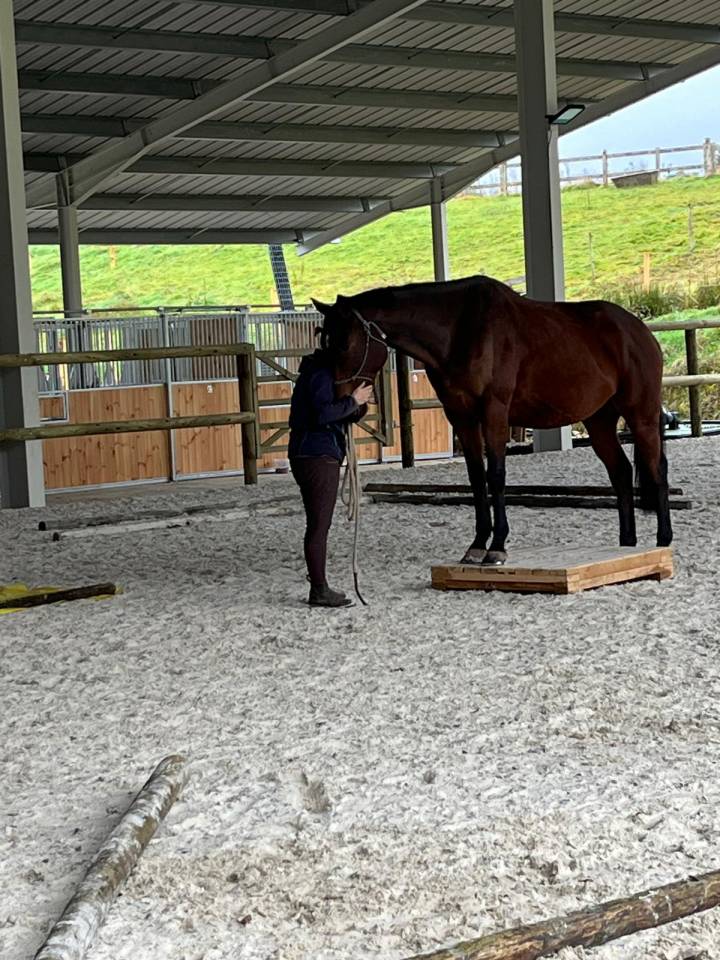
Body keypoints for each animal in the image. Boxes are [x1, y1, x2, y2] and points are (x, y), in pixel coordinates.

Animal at [312, 275, 672, 565]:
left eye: (345, 343)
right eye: (324, 342)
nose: (347, 406)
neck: (460, 329)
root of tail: (640, 331)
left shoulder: (494, 412)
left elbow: (496, 475)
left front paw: (497, 546)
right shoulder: (461, 417)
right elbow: (476, 479)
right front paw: (476, 545)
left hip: (641, 415)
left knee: (656, 470)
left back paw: (663, 540)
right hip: (599, 421)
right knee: (621, 472)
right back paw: (627, 545)